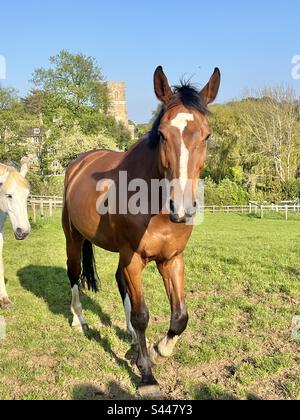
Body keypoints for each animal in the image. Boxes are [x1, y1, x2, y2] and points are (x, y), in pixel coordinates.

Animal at [62, 66, 220, 398]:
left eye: (207, 135)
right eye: (161, 134)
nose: (181, 208)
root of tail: (79, 162)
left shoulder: (172, 259)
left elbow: (180, 315)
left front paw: (161, 347)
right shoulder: (134, 259)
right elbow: (142, 315)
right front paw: (147, 375)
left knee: (119, 281)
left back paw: (132, 338)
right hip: (74, 238)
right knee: (74, 274)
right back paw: (79, 320)